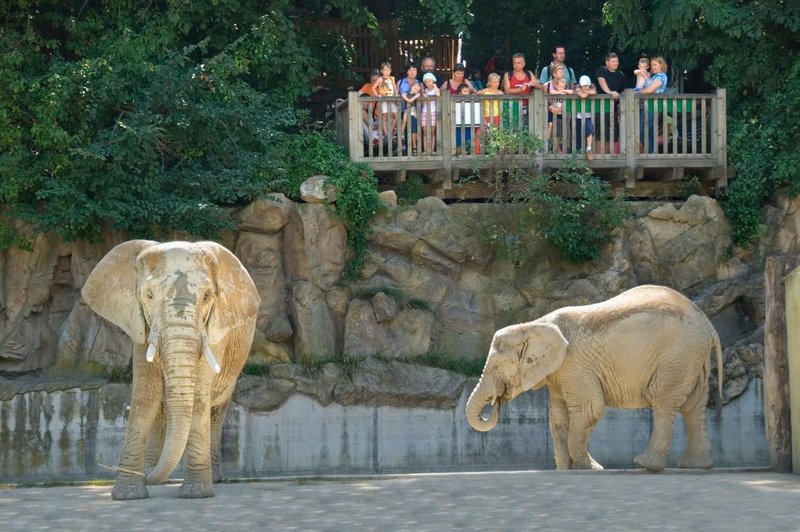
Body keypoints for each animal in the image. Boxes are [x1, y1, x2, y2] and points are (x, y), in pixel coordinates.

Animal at [81, 241, 258, 498]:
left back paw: (212, 478)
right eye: (148, 295)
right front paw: (128, 494)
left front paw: (195, 494)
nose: (148, 476)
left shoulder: (215, 329)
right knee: (161, 408)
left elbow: (199, 396)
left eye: (207, 296)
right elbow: (145, 394)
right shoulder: (140, 324)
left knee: (215, 410)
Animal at [466, 284, 720, 472]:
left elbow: (589, 408)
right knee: (694, 406)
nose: (496, 401)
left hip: (677, 356)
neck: (534, 324)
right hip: (692, 358)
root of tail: (709, 326)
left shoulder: (575, 364)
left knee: (663, 401)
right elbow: (558, 419)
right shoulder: (559, 373)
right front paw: (566, 470)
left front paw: (588, 468)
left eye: (497, 366)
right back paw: (695, 466)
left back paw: (646, 465)